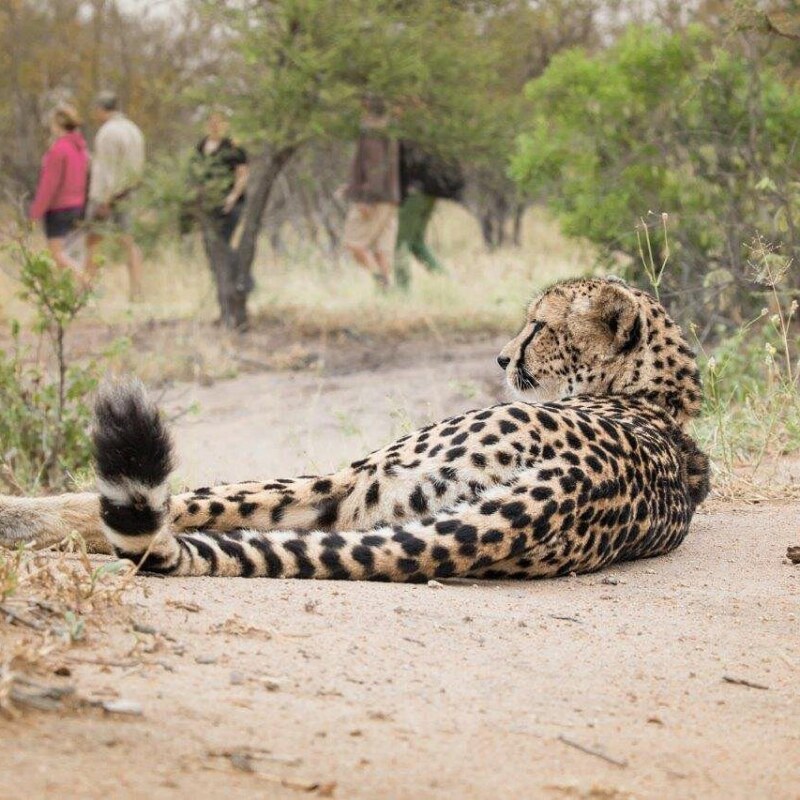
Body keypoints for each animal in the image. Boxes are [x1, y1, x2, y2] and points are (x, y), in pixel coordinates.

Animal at [0, 277, 710, 581]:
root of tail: (568, 485)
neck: (653, 397)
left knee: (151, 511)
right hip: (373, 509)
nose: (502, 359)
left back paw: (18, 519)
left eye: (539, 326)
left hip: (350, 482)